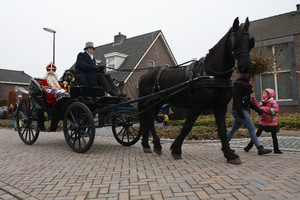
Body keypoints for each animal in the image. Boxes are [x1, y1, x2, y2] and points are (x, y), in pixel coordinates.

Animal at [138, 17, 253, 164]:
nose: (245, 66)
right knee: (149, 121)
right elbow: (187, 126)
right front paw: (176, 149)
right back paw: (156, 145)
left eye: (249, 41)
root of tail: (144, 76)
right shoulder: (197, 106)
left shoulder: (220, 106)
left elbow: (222, 130)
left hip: (157, 103)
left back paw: (147, 145)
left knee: (148, 120)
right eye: (234, 41)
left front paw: (229, 154)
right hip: (152, 102)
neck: (212, 74)